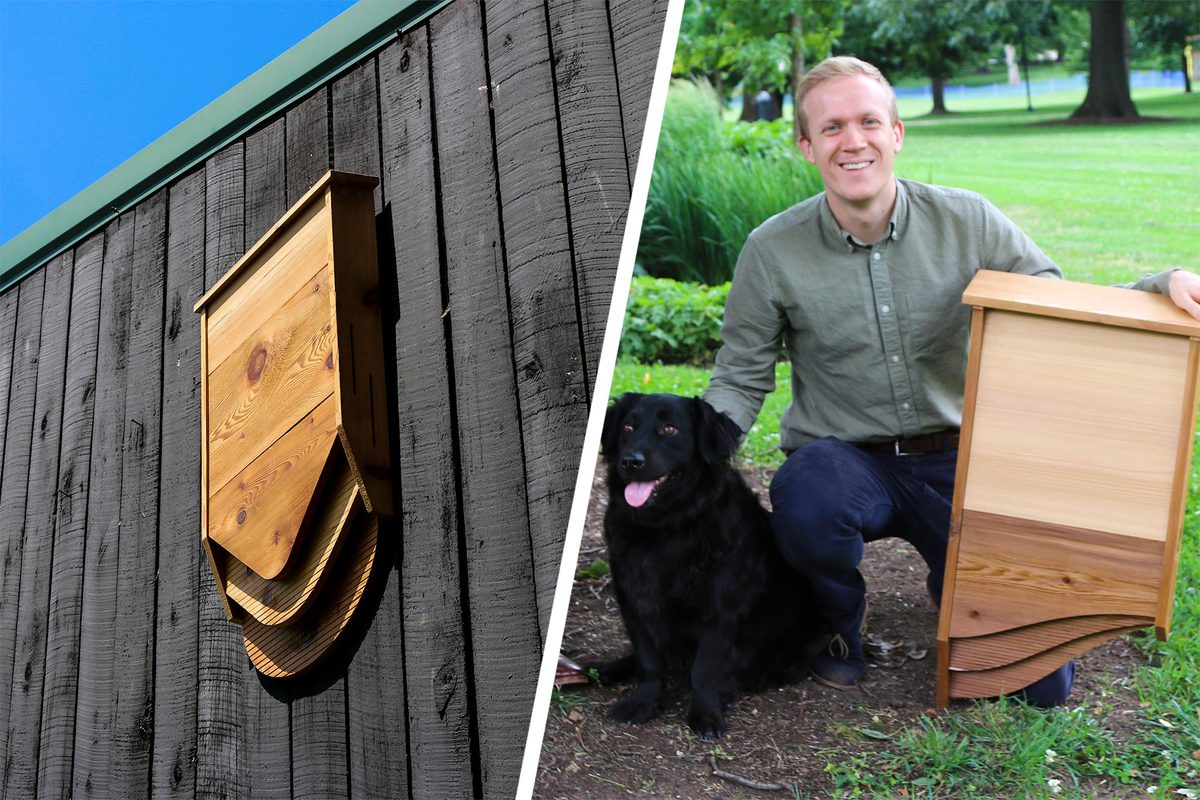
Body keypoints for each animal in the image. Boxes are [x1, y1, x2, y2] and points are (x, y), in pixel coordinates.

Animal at [592, 393, 825, 738]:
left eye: (670, 429)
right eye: (627, 427)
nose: (630, 461)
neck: (667, 528)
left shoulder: (720, 610)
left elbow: (705, 668)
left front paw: (705, 713)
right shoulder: (634, 601)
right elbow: (648, 660)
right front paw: (643, 702)